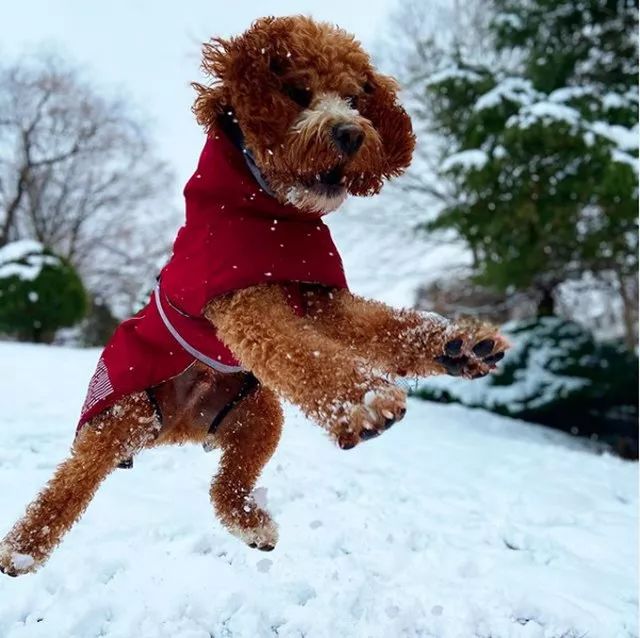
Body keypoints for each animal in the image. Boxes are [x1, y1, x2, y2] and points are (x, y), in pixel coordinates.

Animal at [1, 15, 510, 576]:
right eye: (298, 92)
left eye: (355, 98)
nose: (351, 133)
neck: (276, 216)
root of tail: (176, 428)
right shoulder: (243, 300)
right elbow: (301, 351)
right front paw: (365, 402)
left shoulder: (320, 297)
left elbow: (381, 327)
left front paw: (458, 346)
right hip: (122, 413)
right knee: (70, 482)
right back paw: (23, 548)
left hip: (259, 417)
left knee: (226, 485)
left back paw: (253, 525)